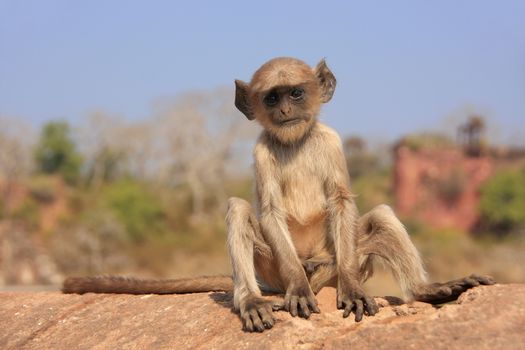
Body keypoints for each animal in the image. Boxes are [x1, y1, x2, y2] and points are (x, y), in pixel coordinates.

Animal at [63, 57, 494, 334]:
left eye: (296, 93)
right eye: (272, 98)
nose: (285, 109)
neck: (295, 141)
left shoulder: (332, 141)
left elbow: (342, 202)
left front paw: (354, 290)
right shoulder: (260, 151)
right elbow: (268, 210)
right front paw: (298, 291)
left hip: (339, 259)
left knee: (382, 216)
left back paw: (425, 289)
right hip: (269, 268)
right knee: (239, 209)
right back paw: (254, 300)